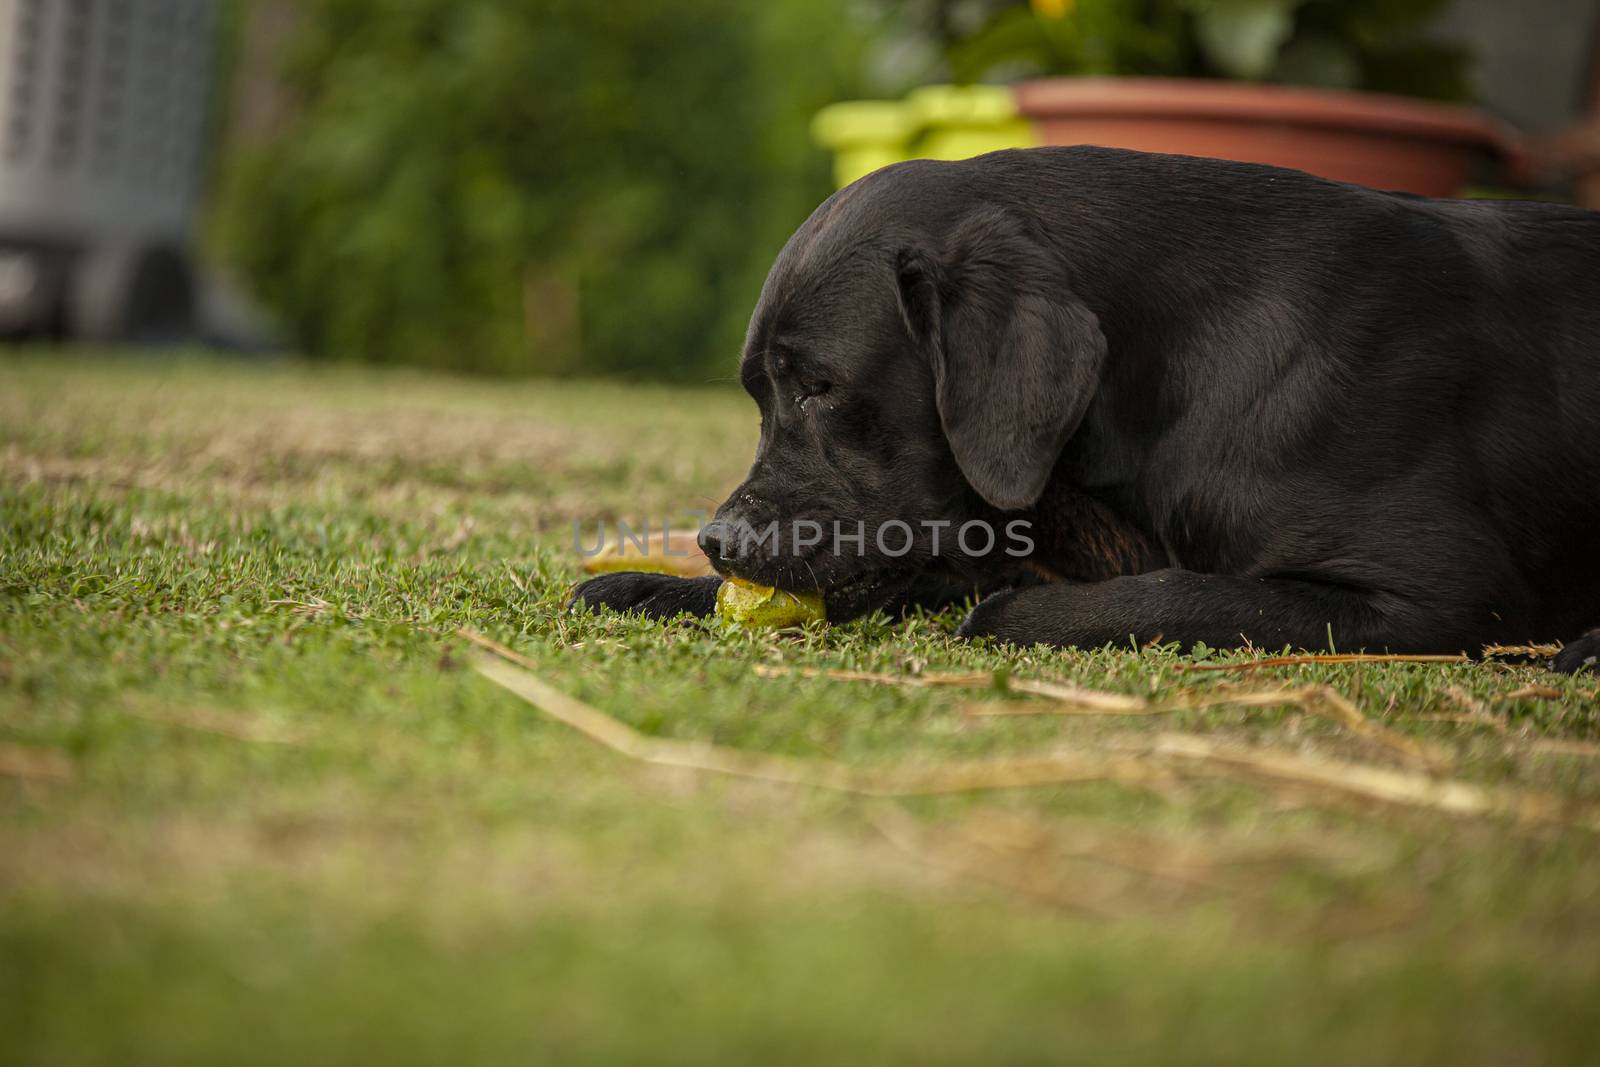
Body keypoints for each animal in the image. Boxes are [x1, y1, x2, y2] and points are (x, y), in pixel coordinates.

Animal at [576, 146, 1600, 671]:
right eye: (760, 393)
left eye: (821, 386)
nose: (718, 540)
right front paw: (651, 584)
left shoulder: (1441, 593)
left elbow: (1171, 593)